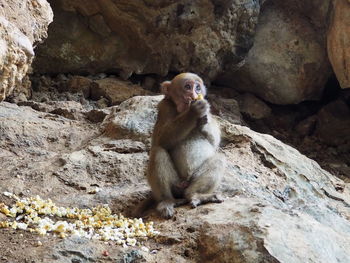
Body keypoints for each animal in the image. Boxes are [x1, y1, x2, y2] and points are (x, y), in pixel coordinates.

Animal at [135, 73, 226, 220]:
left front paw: (203, 117)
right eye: (187, 87)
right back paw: (167, 200)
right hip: (176, 184)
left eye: (198, 87)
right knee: (157, 152)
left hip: (192, 179)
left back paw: (195, 195)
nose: (194, 94)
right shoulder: (164, 107)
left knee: (219, 159)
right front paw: (193, 111)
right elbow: (160, 140)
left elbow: (214, 141)